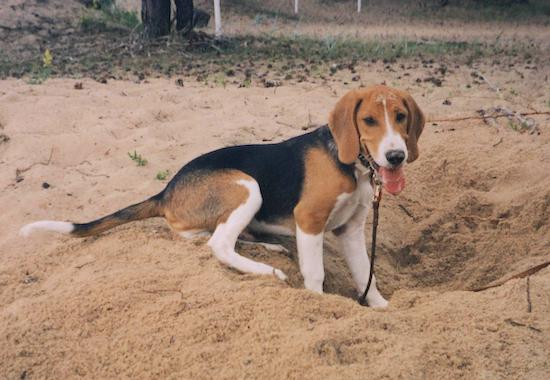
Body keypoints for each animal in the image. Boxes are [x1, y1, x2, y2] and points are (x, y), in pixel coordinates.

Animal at [20, 84, 426, 308]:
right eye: (369, 121)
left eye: (401, 117)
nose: (396, 156)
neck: (353, 165)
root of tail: (166, 190)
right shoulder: (309, 220)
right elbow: (315, 274)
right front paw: (320, 305)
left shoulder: (351, 230)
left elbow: (365, 274)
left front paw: (381, 307)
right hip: (248, 187)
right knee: (218, 244)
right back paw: (266, 269)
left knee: (209, 237)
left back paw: (267, 247)